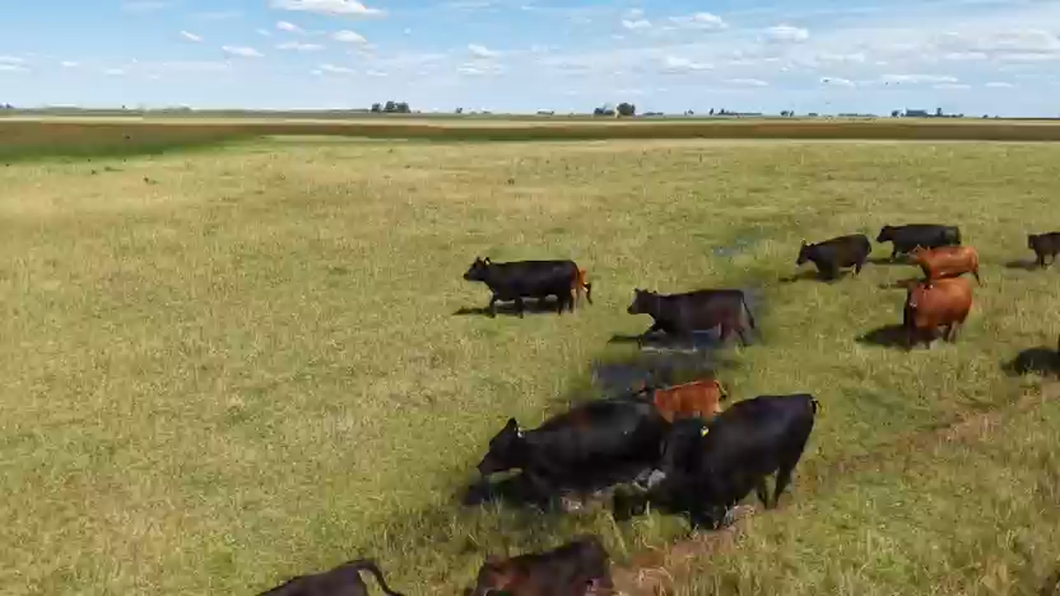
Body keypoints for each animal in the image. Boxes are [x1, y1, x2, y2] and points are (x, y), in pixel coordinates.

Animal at [615, 394, 819, 531]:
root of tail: (804, 397)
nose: (662, 466)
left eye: (683, 443)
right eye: (665, 445)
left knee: (781, 483)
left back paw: (774, 505)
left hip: (790, 456)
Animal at [626, 288, 756, 346]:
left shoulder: (682, 328)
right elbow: (649, 331)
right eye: (636, 298)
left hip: (730, 319)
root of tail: (737, 291)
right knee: (728, 333)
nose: (629, 308)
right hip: (727, 321)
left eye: (640, 299)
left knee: (739, 330)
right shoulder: (661, 324)